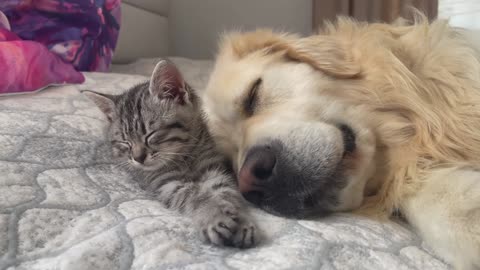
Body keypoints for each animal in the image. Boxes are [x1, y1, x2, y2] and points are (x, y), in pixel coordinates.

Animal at [84, 60, 260, 248]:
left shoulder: (214, 169)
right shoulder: (168, 183)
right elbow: (196, 196)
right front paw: (213, 214)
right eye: (125, 142)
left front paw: (241, 219)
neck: (184, 157)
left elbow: (227, 192)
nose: (138, 158)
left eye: (150, 135)